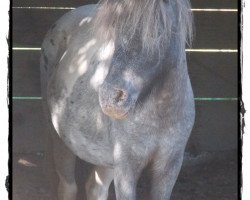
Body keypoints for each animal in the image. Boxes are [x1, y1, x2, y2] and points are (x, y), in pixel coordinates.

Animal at [40, 0, 194, 199]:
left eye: (155, 33)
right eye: (114, 30)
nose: (109, 98)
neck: (162, 114)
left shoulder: (169, 166)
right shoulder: (126, 168)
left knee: (95, 188)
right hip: (60, 138)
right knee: (68, 188)